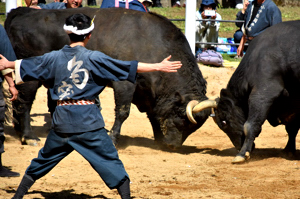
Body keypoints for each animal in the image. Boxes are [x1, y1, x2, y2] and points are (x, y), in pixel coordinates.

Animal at [4, 7, 211, 148]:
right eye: (183, 118)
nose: (172, 146)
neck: (155, 45)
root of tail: (22, 12)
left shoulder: (147, 93)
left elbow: (153, 114)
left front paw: (158, 138)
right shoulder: (125, 84)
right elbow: (123, 112)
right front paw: (113, 138)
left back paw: (19, 130)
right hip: (30, 77)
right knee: (24, 103)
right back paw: (29, 137)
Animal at [188, 20, 300, 163]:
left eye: (223, 122)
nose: (238, 146)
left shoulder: (263, 94)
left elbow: (250, 125)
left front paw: (242, 154)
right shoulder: (295, 103)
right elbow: (292, 128)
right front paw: (289, 151)